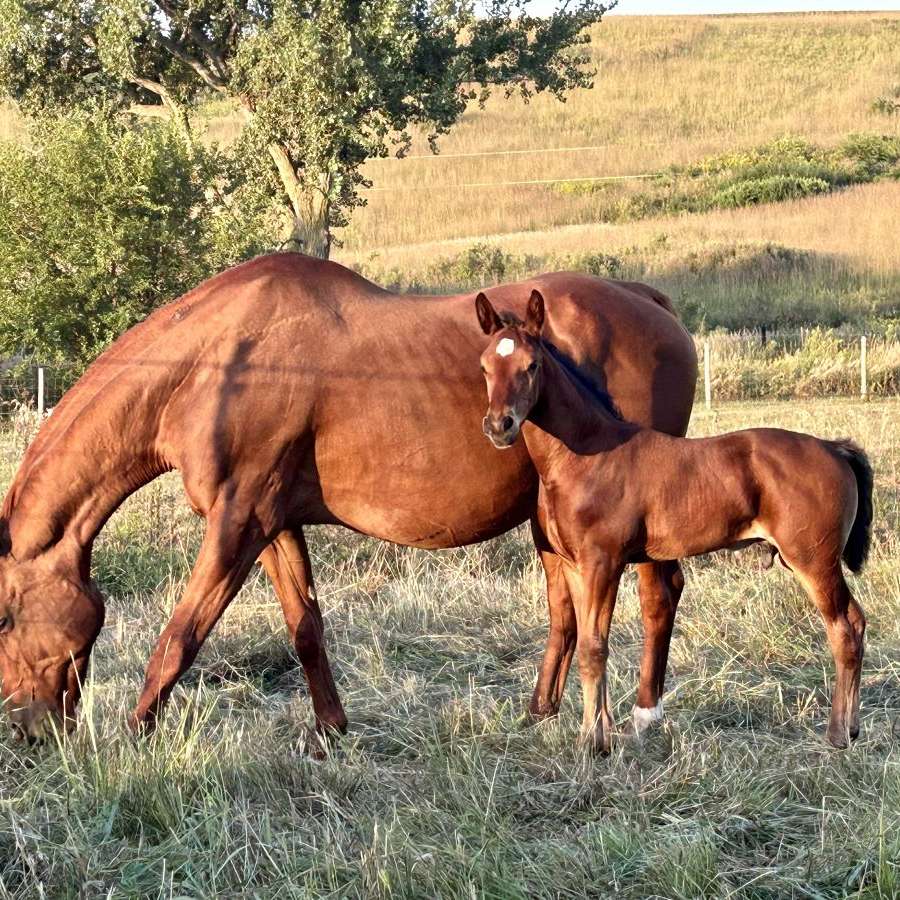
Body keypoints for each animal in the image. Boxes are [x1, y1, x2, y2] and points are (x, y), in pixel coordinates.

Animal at [0, 251, 696, 740]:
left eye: (5, 616)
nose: (27, 729)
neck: (216, 364)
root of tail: (651, 300)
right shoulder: (272, 524)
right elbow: (305, 627)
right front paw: (331, 731)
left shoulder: (235, 522)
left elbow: (180, 638)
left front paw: (134, 737)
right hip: (548, 517)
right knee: (565, 610)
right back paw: (540, 713)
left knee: (658, 593)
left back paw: (644, 714)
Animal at [478, 290, 872, 752]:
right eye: (485, 366)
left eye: (532, 365)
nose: (499, 426)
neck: (587, 455)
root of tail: (833, 448)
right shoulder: (576, 566)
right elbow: (589, 643)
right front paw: (601, 733)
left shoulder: (603, 563)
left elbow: (594, 649)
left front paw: (592, 743)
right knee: (855, 623)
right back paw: (850, 726)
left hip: (814, 561)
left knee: (845, 629)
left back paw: (839, 733)